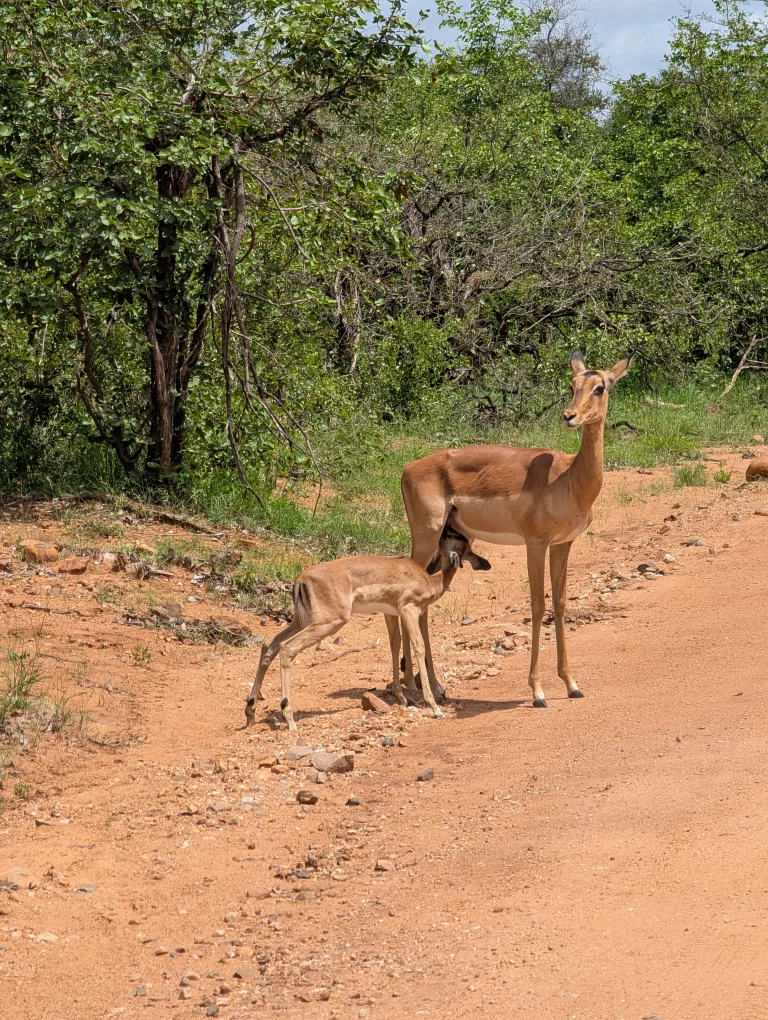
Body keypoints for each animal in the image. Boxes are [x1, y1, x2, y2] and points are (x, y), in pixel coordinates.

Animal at [244, 522, 490, 730]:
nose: (447, 525)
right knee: (286, 648)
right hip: (329, 622)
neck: (430, 580)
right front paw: (435, 707)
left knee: (269, 645)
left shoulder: (390, 613)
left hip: (302, 621)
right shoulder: (409, 610)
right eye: (452, 535)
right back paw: (288, 717)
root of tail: (301, 579)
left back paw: (250, 712)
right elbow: (418, 646)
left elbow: (395, 645)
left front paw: (401, 697)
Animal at [400, 351, 633, 708]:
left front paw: (572, 684)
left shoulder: (562, 544)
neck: (567, 478)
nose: (569, 416)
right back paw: (414, 690)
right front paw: (537, 692)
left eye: (600, 387)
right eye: (572, 384)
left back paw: (433, 687)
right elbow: (537, 605)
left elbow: (559, 603)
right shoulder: (535, 544)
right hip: (426, 537)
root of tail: (406, 469)